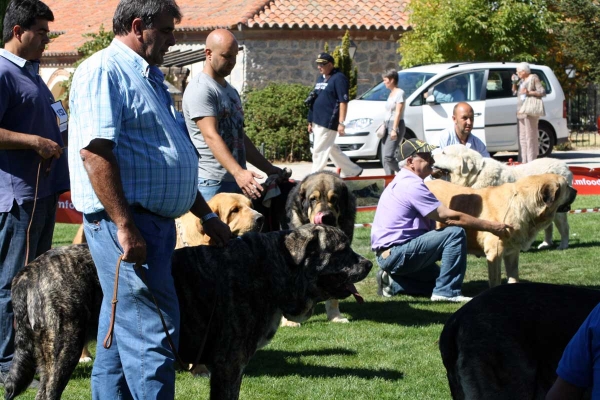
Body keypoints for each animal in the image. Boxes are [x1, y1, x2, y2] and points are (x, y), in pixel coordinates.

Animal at [4, 225, 370, 400]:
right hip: (63, 348)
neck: (271, 267)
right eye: (342, 249)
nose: (367, 263)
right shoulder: (229, 366)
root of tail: (29, 270)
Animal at [426, 175, 576, 288]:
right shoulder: (495, 253)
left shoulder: (512, 252)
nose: (575, 190)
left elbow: (514, 275)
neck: (523, 204)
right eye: (567, 186)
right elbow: (495, 279)